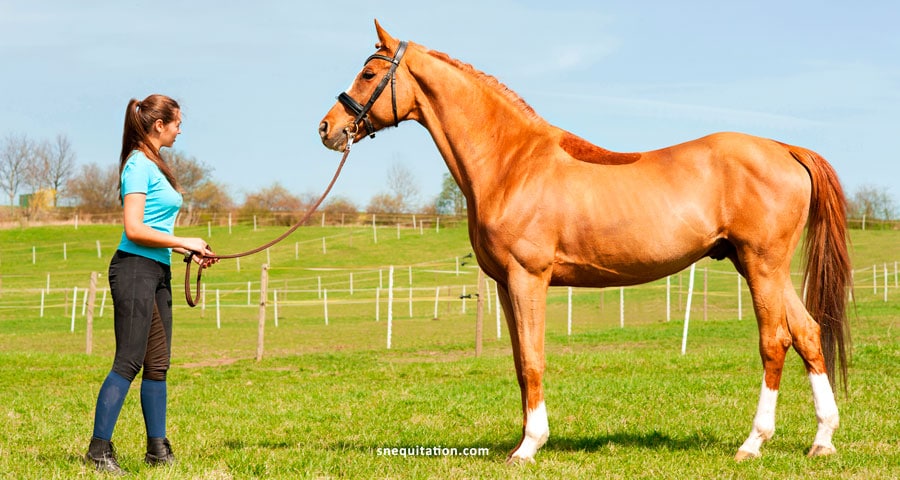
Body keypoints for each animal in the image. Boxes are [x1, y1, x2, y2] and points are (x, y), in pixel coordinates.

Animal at [318, 20, 852, 463]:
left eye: (369, 73)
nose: (328, 128)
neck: (513, 163)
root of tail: (786, 149)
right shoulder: (503, 285)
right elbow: (520, 362)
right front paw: (524, 439)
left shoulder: (528, 278)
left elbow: (534, 360)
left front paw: (528, 448)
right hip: (762, 267)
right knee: (808, 334)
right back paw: (822, 440)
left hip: (762, 265)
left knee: (775, 341)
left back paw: (753, 443)